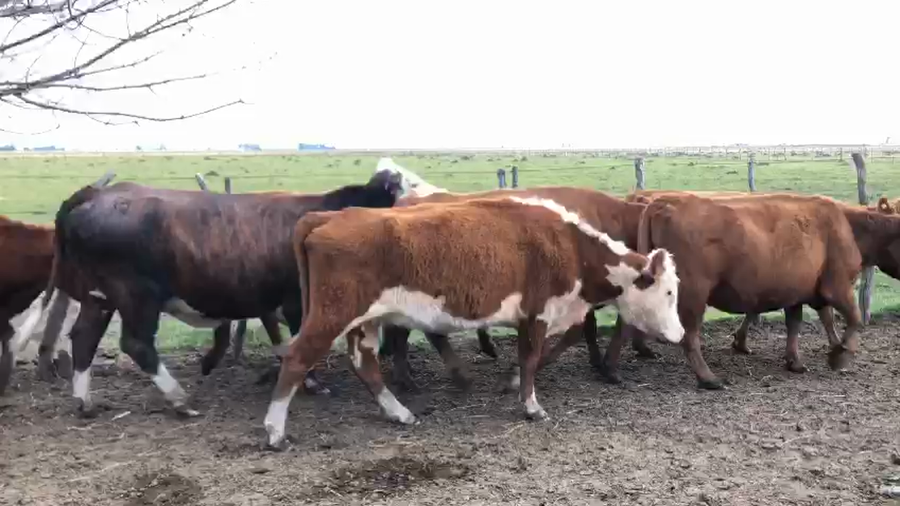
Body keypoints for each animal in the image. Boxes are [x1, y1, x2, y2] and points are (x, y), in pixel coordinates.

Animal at [11, 172, 404, 418]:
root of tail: (98, 192)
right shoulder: (300, 301)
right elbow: (300, 340)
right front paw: (310, 382)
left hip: (100, 297)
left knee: (84, 338)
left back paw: (86, 402)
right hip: (136, 295)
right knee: (136, 344)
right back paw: (180, 401)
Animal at [262, 195, 685, 449]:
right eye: (668, 292)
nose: (679, 333)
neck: (569, 246)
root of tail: (327, 217)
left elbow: (545, 350)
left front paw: (514, 385)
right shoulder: (538, 313)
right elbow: (531, 358)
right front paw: (531, 406)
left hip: (366, 321)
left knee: (365, 364)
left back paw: (399, 412)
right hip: (332, 314)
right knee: (297, 358)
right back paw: (275, 431)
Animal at [599, 192, 865, 390]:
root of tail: (665, 202)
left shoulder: (795, 295)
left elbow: (795, 325)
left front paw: (795, 362)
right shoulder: (838, 287)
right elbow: (855, 318)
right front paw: (840, 356)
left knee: (625, 323)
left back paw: (609, 370)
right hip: (694, 295)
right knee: (690, 336)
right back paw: (709, 379)